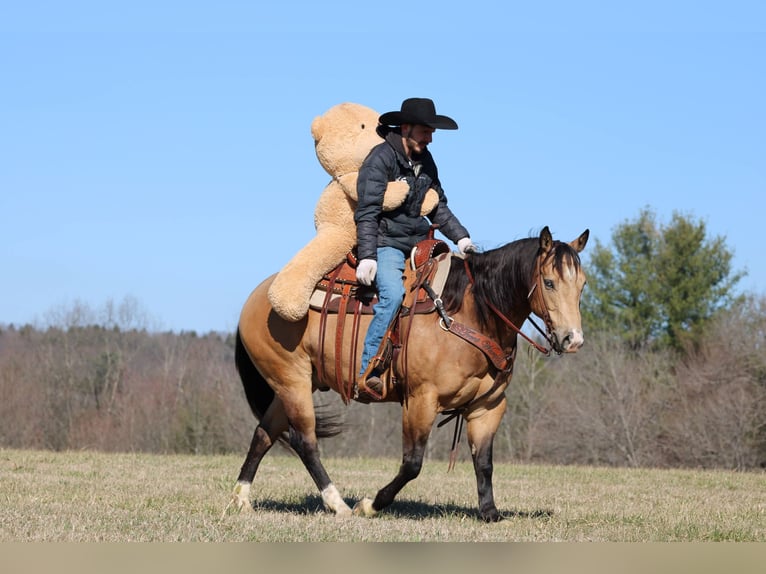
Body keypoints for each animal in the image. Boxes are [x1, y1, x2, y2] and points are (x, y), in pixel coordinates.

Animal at [229, 226, 589, 521]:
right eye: (549, 282)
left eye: (582, 285)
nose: (573, 340)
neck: (470, 313)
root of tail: (255, 298)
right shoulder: (420, 399)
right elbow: (412, 463)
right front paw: (370, 505)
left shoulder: (487, 407)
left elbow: (484, 462)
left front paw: (490, 513)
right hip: (294, 381)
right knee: (305, 441)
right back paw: (337, 504)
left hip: (289, 385)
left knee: (263, 433)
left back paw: (241, 499)